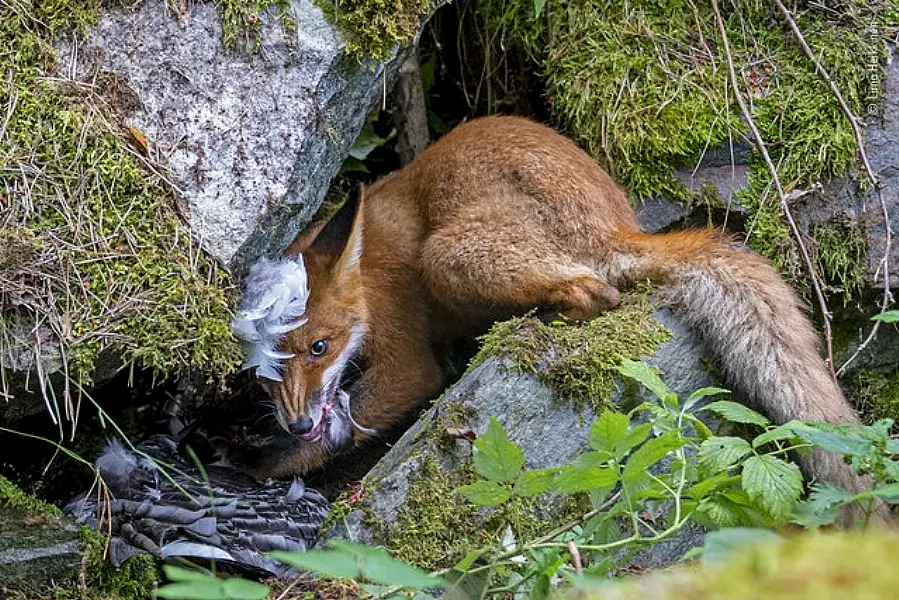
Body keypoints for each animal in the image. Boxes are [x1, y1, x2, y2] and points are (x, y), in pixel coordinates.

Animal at [234, 118, 884, 520]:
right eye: (267, 370)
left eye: (319, 348)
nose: (296, 423)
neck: (369, 275)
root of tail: (619, 225)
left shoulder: (406, 357)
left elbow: (372, 407)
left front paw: (264, 464)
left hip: (449, 256)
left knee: (597, 293)